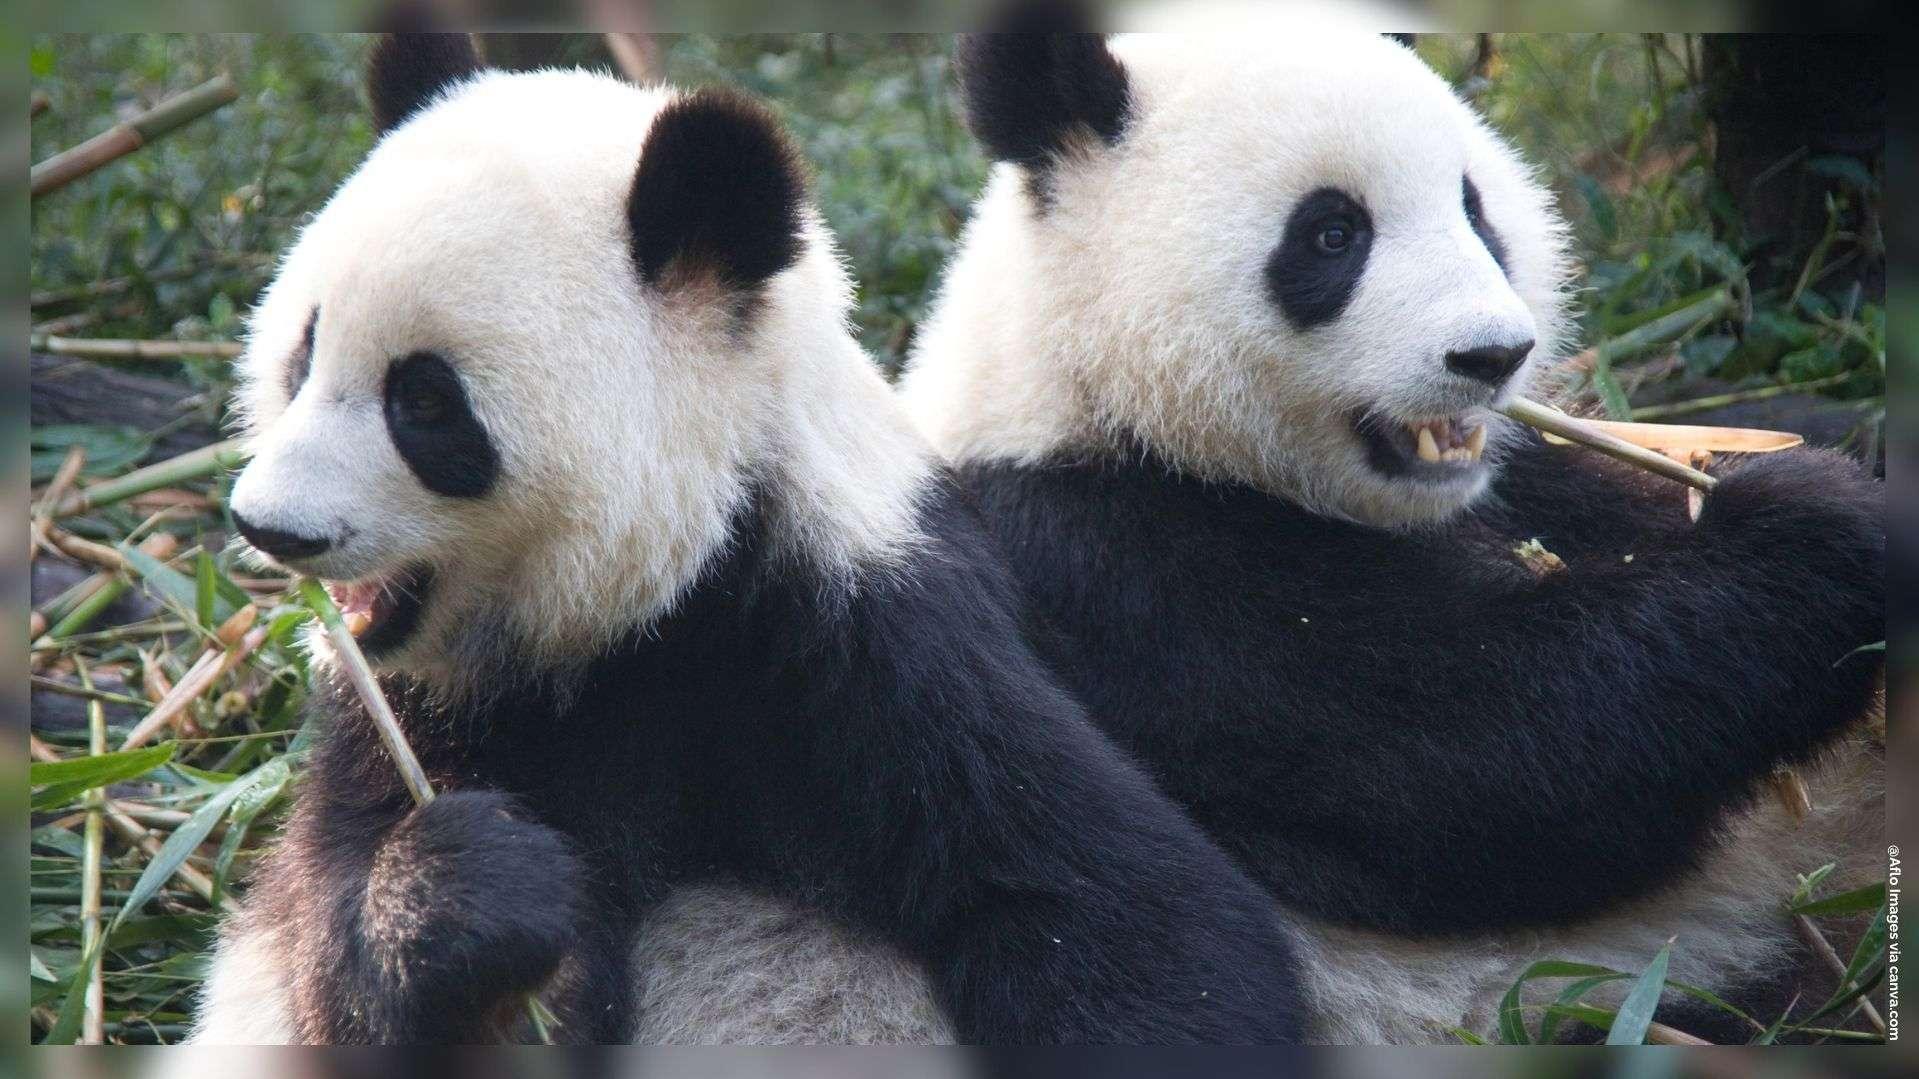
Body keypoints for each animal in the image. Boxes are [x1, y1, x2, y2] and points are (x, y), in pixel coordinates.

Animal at [187, 34, 1311, 1044]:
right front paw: (473, 890)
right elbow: (321, 961)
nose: (270, 525)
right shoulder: (420, 713)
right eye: (301, 353)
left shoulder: (861, 650)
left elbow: (1130, 917)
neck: (646, 610)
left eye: (423, 402)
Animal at [897, 31, 1886, 1043]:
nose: (1492, 356)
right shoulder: (1106, 568)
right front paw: (1819, 528)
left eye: (1474, 208)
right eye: (1332, 234)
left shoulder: (1533, 478)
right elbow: (1477, 757)